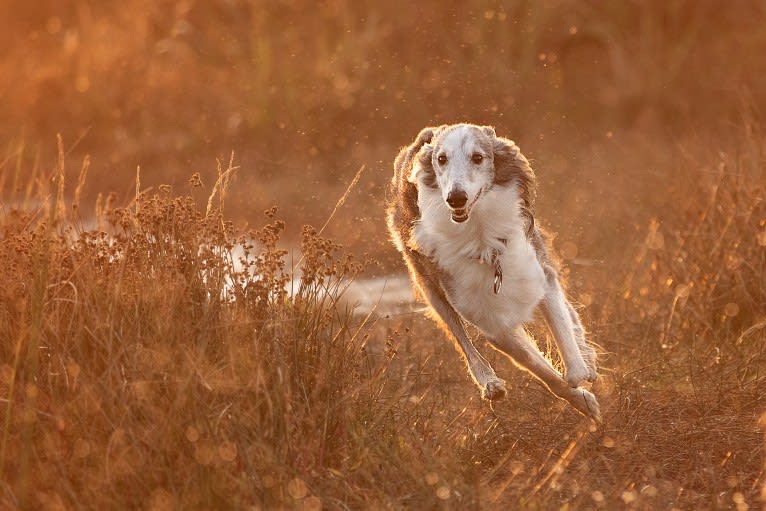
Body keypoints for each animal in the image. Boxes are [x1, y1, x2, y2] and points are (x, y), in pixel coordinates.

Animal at [388, 123, 604, 420]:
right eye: (441, 159)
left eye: (478, 157)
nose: (456, 199)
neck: (481, 236)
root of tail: (429, 131)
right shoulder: (491, 322)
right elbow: (544, 373)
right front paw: (581, 400)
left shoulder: (539, 276)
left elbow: (564, 338)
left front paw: (580, 372)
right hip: (431, 289)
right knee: (464, 343)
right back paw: (490, 382)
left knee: (570, 315)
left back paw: (588, 358)